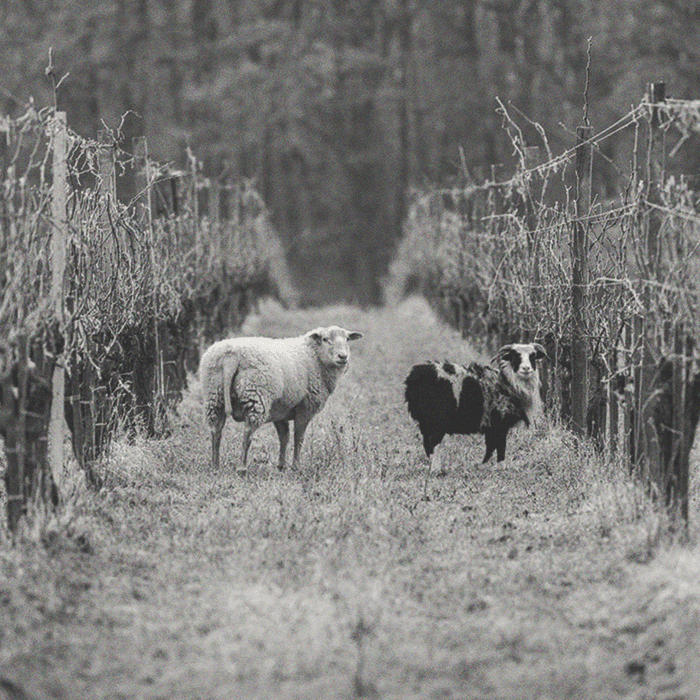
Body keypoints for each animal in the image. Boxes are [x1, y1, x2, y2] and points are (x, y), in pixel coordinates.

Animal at [197, 326, 360, 474]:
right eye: (326, 339)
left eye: (347, 339)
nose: (343, 356)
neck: (314, 356)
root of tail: (231, 355)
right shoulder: (305, 408)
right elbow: (298, 437)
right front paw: (296, 467)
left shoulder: (280, 411)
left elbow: (284, 437)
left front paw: (281, 466)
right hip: (256, 397)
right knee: (247, 434)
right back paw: (241, 469)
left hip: (214, 395)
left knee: (216, 431)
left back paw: (215, 467)